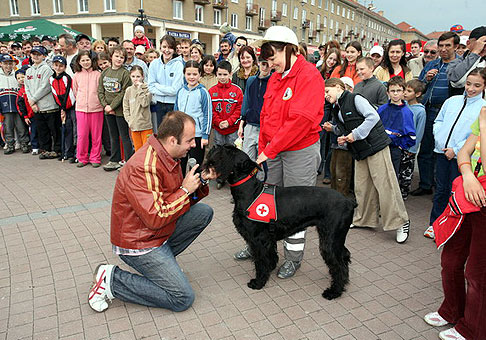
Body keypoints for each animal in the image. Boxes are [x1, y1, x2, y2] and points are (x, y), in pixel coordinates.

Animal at [203, 145, 356, 298]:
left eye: (230, 151)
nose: (214, 146)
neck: (251, 191)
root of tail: (349, 202)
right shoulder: (266, 239)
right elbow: (270, 256)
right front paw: (270, 268)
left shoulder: (258, 239)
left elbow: (261, 261)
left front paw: (259, 282)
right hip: (335, 239)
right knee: (344, 256)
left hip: (330, 240)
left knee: (339, 264)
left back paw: (334, 291)